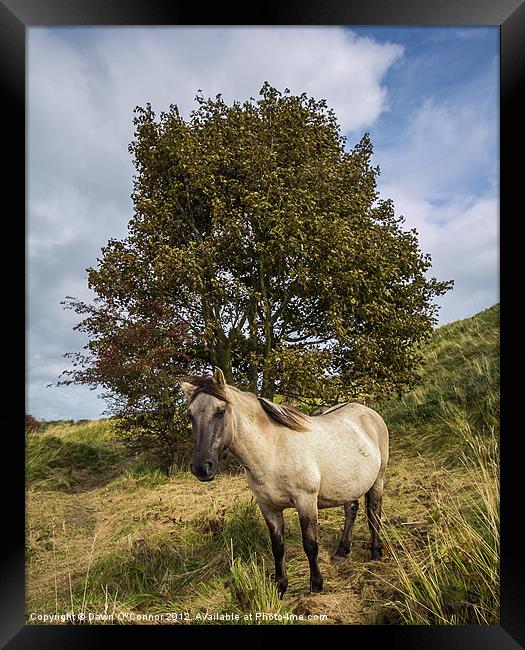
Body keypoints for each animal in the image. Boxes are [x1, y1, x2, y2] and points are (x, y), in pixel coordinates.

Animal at [178, 368, 386, 596]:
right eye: (190, 415)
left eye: (221, 411)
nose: (201, 467)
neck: (273, 452)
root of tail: (368, 412)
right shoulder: (268, 507)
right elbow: (277, 547)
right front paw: (280, 586)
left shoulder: (306, 502)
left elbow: (310, 545)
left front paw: (316, 585)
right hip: (348, 484)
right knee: (352, 509)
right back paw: (342, 552)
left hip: (378, 479)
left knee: (374, 512)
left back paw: (376, 552)